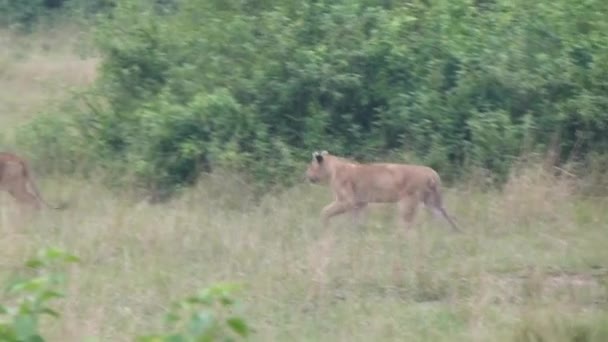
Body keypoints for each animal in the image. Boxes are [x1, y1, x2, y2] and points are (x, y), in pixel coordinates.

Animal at [306, 150, 464, 232]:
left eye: (310, 165)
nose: (306, 174)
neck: (332, 168)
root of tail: (433, 173)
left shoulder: (347, 201)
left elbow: (325, 211)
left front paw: (325, 227)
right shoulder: (360, 203)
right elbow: (357, 220)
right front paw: (356, 232)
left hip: (408, 202)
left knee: (407, 225)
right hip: (432, 201)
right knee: (445, 217)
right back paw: (450, 234)